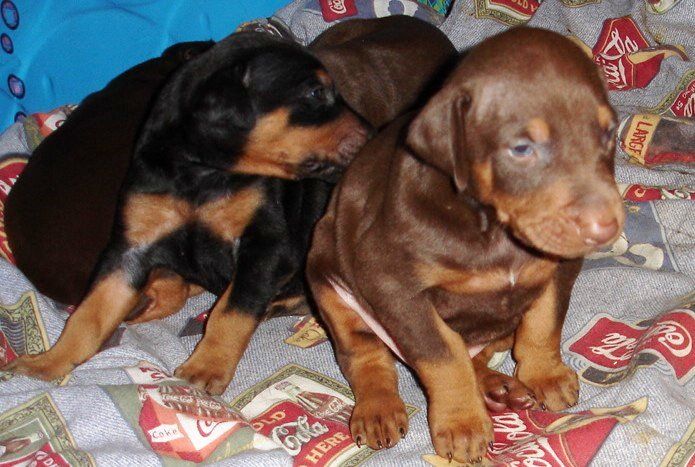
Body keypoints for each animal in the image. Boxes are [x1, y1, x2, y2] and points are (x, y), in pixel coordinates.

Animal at [304, 26, 624, 464]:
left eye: (608, 133)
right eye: (521, 149)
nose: (606, 227)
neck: (493, 227)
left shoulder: (559, 267)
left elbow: (544, 323)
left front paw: (545, 374)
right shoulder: (396, 289)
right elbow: (444, 357)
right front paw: (461, 424)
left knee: (482, 353)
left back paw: (499, 387)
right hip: (327, 281)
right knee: (363, 354)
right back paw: (378, 409)